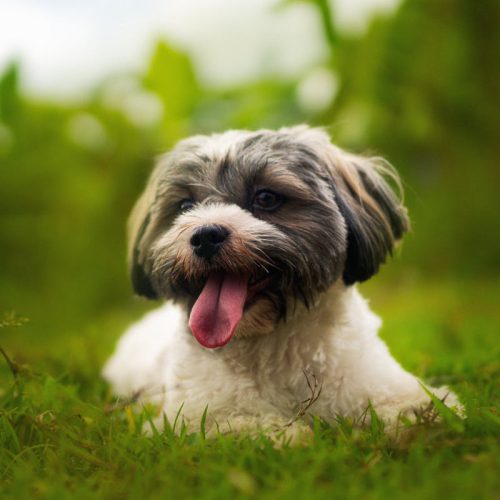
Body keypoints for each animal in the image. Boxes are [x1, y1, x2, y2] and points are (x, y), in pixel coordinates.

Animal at [103, 126, 462, 442]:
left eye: (265, 198)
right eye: (185, 206)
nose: (205, 235)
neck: (271, 342)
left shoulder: (375, 380)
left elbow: (412, 404)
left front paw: (424, 418)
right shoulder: (190, 416)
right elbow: (239, 423)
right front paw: (287, 434)